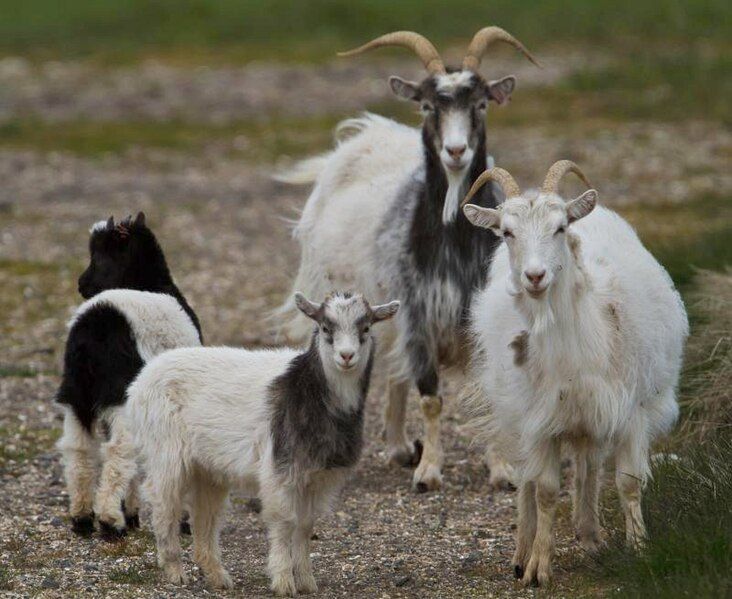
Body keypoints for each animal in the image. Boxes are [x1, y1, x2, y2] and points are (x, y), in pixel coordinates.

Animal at [55, 214, 202, 540]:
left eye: (100, 255)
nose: (82, 285)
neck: (153, 284)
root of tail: (93, 326)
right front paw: (184, 520)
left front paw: (133, 512)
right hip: (118, 393)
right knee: (118, 450)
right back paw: (109, 520)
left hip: (77, 393)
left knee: (79, 448)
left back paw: (82, 518)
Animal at [274, 25, 536, 490]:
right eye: (428, 106)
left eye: (481, 103)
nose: (456, 151)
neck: (452, 243)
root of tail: (366, 134)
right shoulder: (419, 314)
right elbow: (430, 396)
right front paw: (428, 470)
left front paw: (502, 469)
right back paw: (399, 447)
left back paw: (399, 446)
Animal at [460, 163, 688, 584]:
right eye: (507, 232)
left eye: (560, 227)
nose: (535, 276)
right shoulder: (542, 419)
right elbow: (546, 491)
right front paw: (538, 565)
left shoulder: (630, 409)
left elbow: (628, 482)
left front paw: (639, 548)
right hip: (519, 409)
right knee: (528, 478)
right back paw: (522, 550)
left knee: (589, 466)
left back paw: (590, 534)